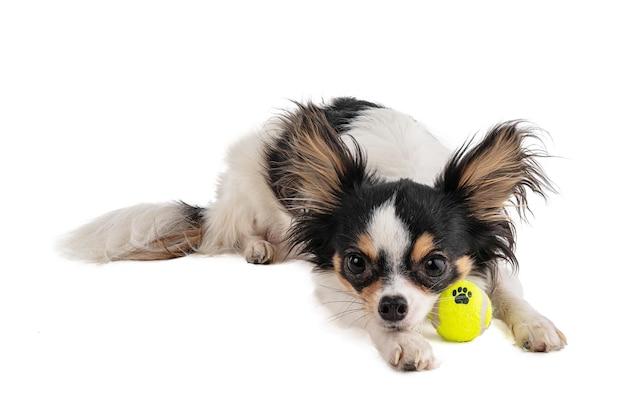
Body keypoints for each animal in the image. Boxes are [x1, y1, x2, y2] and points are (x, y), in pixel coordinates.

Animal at [62, 97, 564, 370]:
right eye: (357, 264)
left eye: (435, 264)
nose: (393, 305)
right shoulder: (331, 275)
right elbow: (367, 316)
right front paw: (403, 341)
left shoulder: (489, 252)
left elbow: (509, 291)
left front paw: (536, 324)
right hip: (245, 193)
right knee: (230, 234)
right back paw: (258, 246)